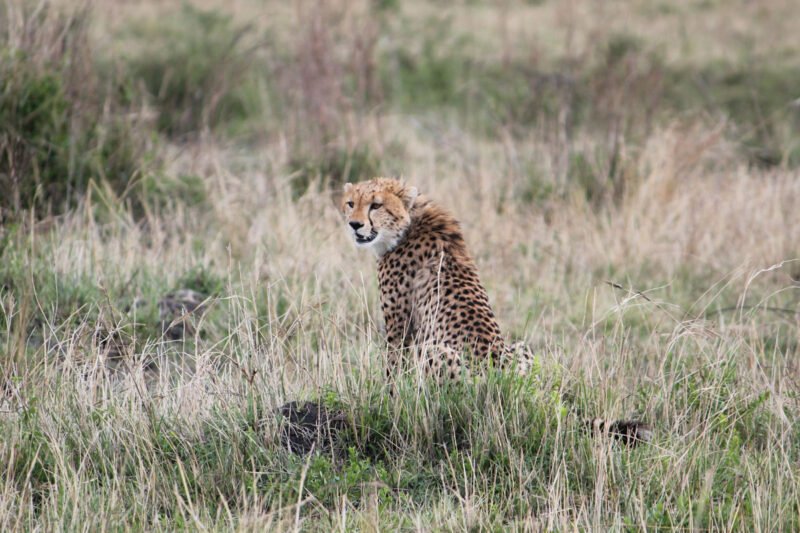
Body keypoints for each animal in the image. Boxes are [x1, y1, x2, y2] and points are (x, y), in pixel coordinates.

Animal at [338, 177, 648, 442]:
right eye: (351, 203)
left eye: (376, 205)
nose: (354, 225)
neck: (410, 221)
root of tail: (520, 390)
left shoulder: (399, 326)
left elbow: (392, 369)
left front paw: (388, 404)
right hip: (522, 348)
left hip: (436, 352)